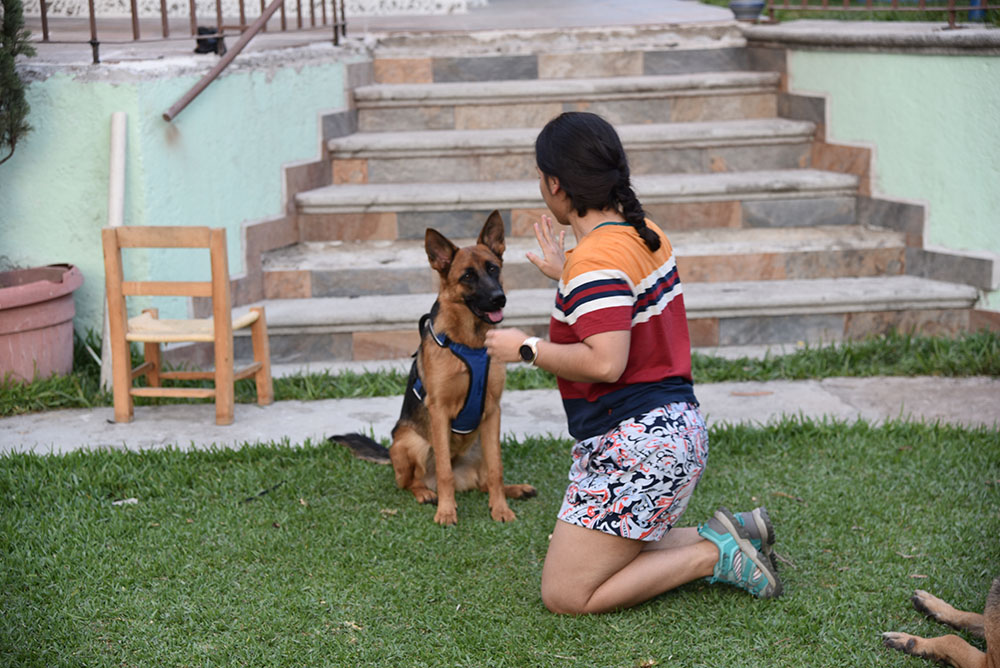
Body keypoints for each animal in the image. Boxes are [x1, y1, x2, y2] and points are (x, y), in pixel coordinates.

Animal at [330, 211, 536, 524]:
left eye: (493, 269)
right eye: (467, 276)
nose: (499, 298)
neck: (470, 342)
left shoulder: (493, 411)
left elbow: (497, 469)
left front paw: (500, 509)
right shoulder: (439, 411)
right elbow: (444, 472)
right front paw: (447, 512)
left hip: (480, 443)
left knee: (484, 480)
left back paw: (515, 490)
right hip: (410, 444)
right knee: (409, 482)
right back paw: (426, 493)